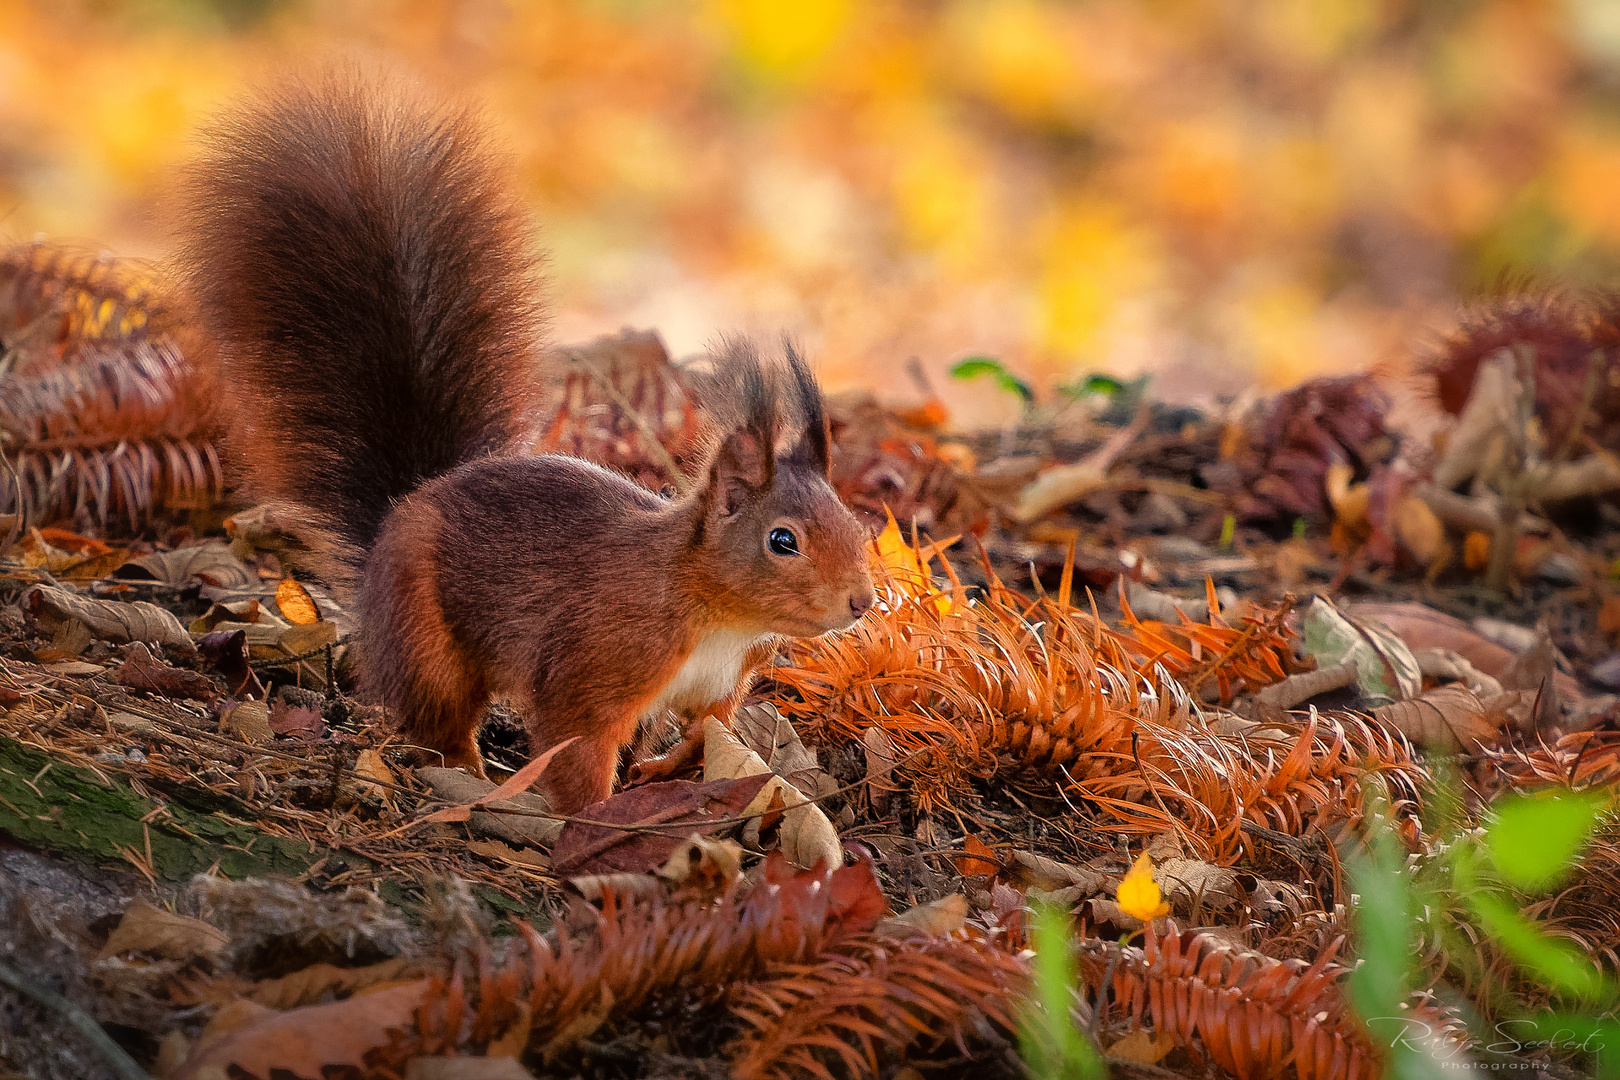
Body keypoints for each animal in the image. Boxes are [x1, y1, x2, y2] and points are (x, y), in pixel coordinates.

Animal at [174, 71, 874, 816]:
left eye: (856, 525)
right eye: (782, 540)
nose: (862, 602)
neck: (714, 610)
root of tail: (404, 505)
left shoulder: (721, 683)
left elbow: (706, 730)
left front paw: (665, 767)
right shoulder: (602, 657)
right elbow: (578, 742)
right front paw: (599, 818)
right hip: (425, 634)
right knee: (439, 715)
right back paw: (470, 772)